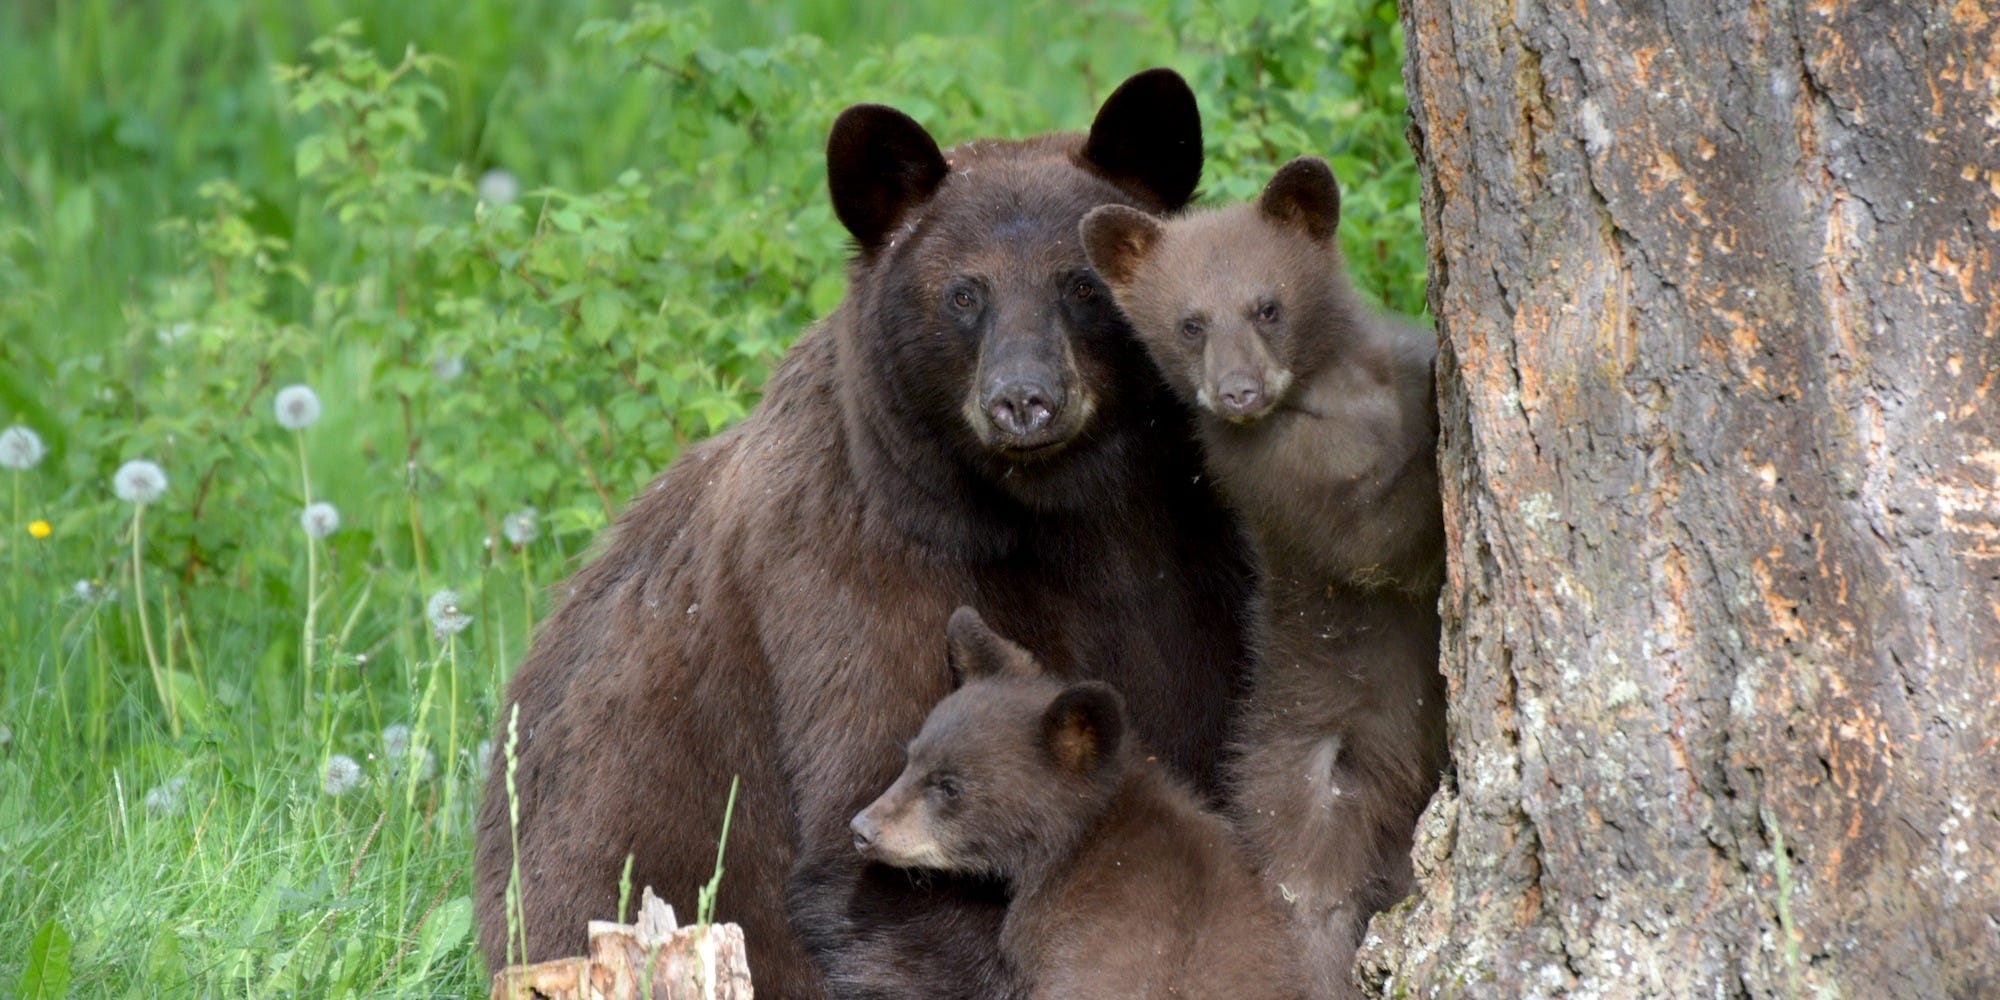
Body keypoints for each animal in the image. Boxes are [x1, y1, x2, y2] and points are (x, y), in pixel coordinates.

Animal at [472, 72, 1248, 1000]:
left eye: (1082, 286)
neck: (1069, 513)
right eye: (964, 293)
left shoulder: (1196, 560)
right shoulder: (864, 572)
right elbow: (886, 834)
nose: (1023, 400)